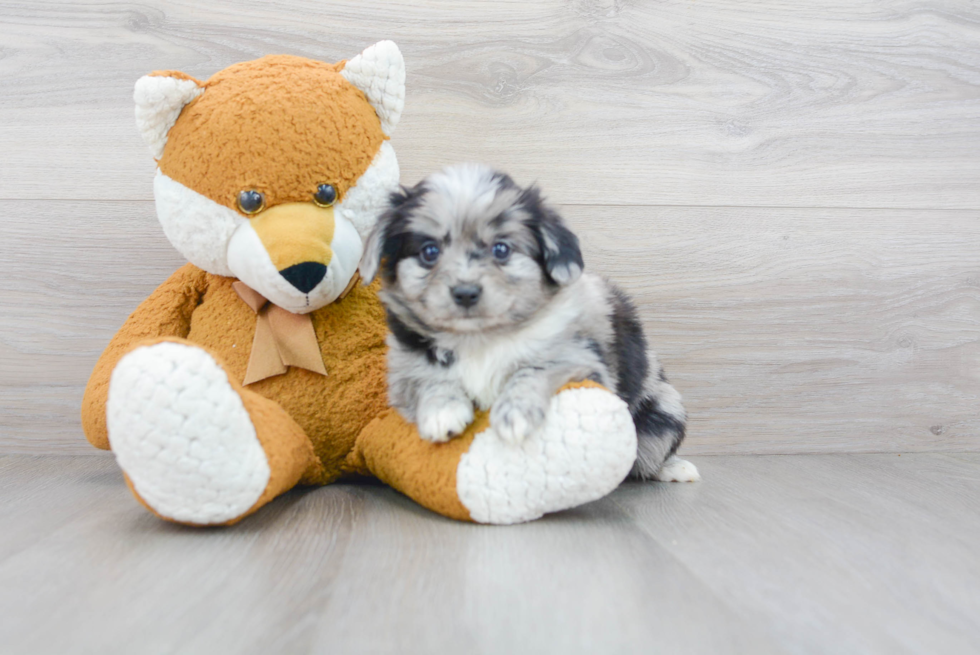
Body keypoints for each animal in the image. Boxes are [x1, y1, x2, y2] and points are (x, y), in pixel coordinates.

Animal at [360, 164, 696, 482]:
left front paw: (515, 413)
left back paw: (675, 469)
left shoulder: (584, 363)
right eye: (429, 251)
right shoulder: (403, 374)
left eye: (501, 249)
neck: (478, 339)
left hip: (664, 413)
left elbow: (533, 370)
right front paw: (442, 411)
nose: (466, 293)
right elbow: (430, 380)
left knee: (647, 457)